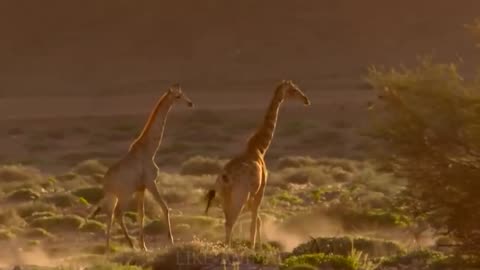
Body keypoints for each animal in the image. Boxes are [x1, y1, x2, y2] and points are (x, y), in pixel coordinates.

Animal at [86, 83, 193, 252]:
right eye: (177, 96)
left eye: (182, 93)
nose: (190, 103)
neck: (150, 150)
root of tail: (105, 183)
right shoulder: (150, 182)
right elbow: (165, 207)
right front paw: (170, 241)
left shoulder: (141, 188)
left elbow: (140, 214)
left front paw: (143, 246)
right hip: (123, 194)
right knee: (118, 214)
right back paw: (125, 245)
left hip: (114, 196)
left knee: (110, 215)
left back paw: (109, 248)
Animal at [203, 80, 310, 249]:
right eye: (293, 90)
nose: (306, 99)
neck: (259, 148)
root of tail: (225, 178)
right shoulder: (260, 190)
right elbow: (254, 222)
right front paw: (253, 247)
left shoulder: (252, 196)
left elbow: (258, 220)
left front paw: (258, 245)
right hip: (239, 197)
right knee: (231, 222)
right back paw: (230, 248)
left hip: (225, 198)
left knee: (227, 221)